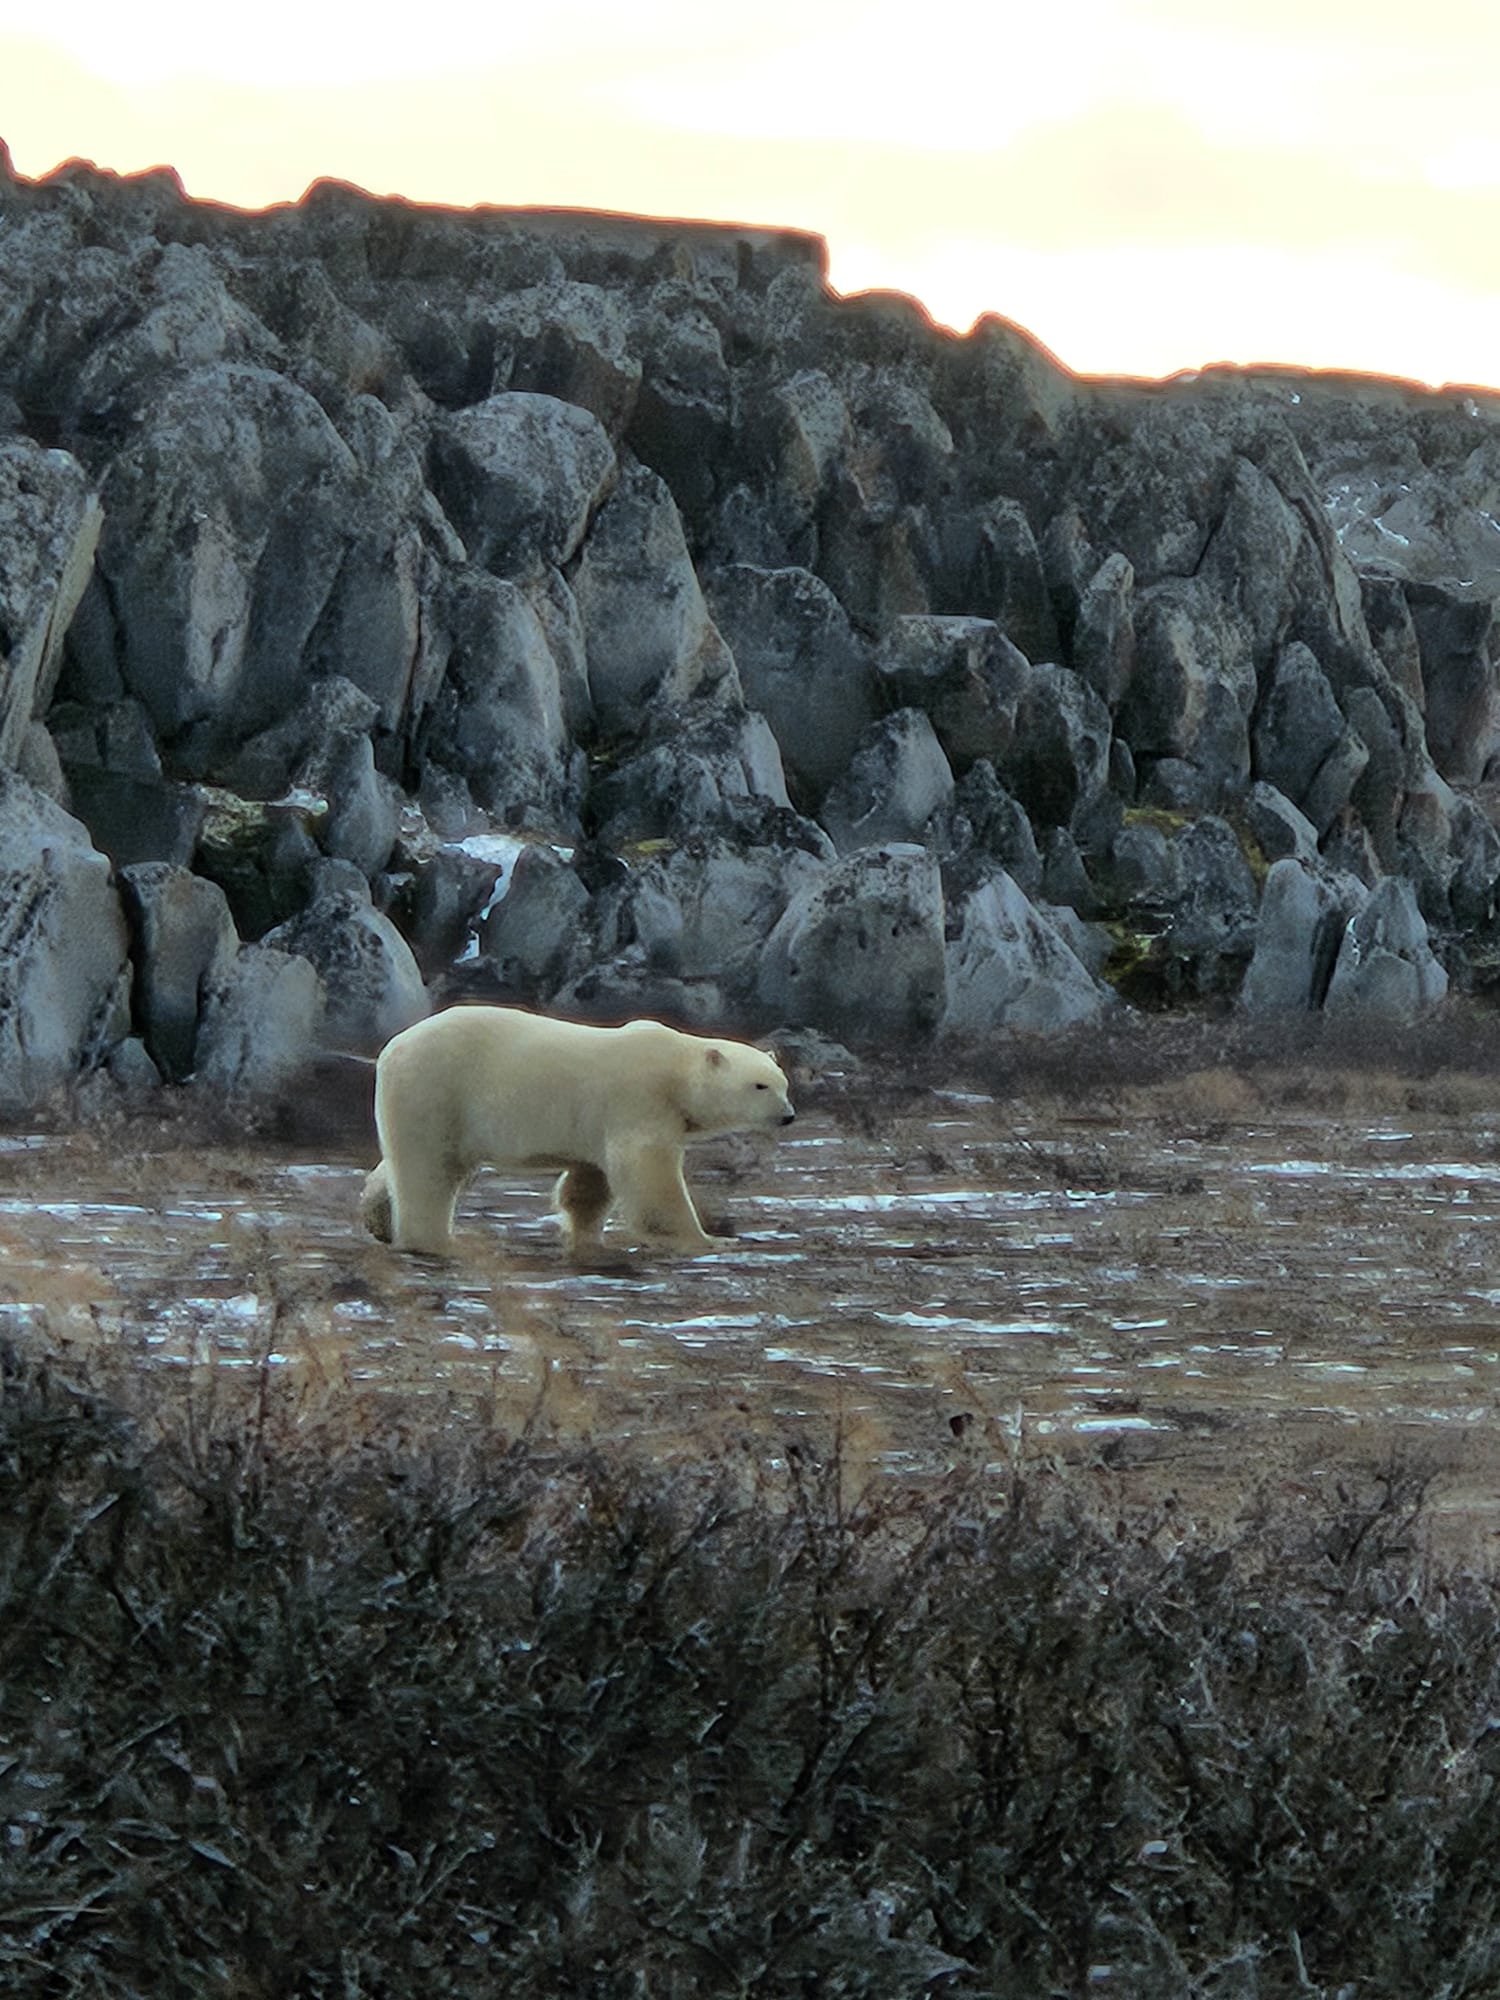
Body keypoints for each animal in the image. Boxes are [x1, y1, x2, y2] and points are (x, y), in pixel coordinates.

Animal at [360, 1004, 795, 1259]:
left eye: (784, 1083)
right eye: (759, 1085)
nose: (789, 1115)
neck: (674, 1068)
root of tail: (392, 1047)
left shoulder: (600, 1121)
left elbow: (590, 1181)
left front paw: (585, 1237)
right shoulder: (638, 1099)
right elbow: (649, 1174)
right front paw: (710, 1240)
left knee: (405, 1164)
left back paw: (377, 1218)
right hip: (436, 1089)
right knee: (428, 1173)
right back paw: (435, 1241)